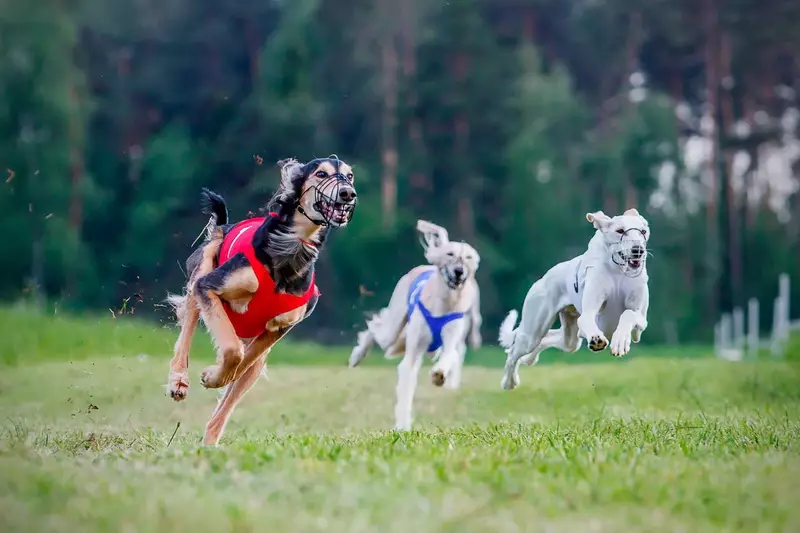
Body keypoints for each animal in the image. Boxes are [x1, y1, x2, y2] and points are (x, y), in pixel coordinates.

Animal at [167, 155, 358, 444]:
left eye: (350, 176)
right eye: (321, 174)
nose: (348, 194)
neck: (292, 250)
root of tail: (224, 225)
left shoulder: (280, 328)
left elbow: (242, 360)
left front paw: (214, 376)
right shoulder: (209, 287)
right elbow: (233, 351)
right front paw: (211, 376)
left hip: (256, 362)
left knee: (229, 399)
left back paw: (209, 444)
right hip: (201, 274)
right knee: (186, 333)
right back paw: (178, 381)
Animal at [348, 219, 482, 428]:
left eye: (468, 257)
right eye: (450, 254)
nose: (459, 272)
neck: (445, 302)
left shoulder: (451, 336)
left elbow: (450, 354)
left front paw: (439, 374)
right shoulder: (413, 350)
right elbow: (406, 388)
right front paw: (403, 426)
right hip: (394, 326)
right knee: (376, 328)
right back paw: (357, 355)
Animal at [500, 209, 648, 390]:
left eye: (643, 231)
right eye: (620, 230)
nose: (638, 250)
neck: (618, 271)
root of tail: (543, 279)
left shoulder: (640, 324)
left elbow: (629, 315)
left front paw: (620, 341)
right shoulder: (591, 315)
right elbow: (589, 320)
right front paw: (598, 339)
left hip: (570, 339)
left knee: (550, 340)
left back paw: (529, 359)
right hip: (532, 334)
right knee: (513, 352)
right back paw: (509, 381)